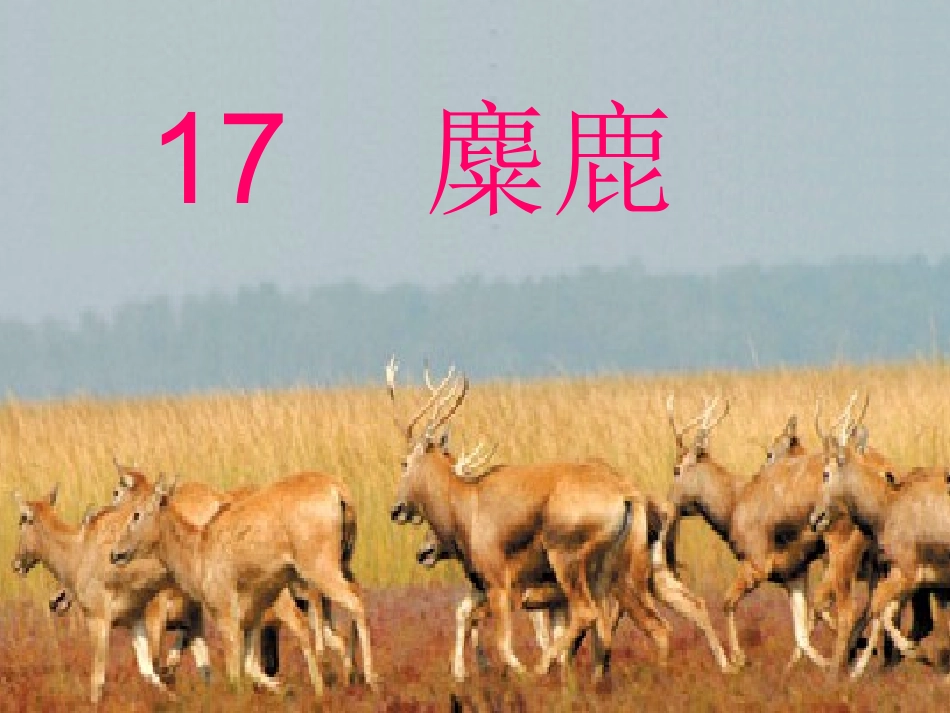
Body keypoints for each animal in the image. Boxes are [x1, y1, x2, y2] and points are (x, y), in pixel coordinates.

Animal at [109, 470, 377, 696]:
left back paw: (370, 681)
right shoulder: (251, 621)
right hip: (338, 567)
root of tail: (337, 490)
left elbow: (233, 674)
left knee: (353, 604)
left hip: (318, 571)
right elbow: (249, 666)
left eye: (136, 514)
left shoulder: (227, 619)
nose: (115, 553)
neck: (201, 547)